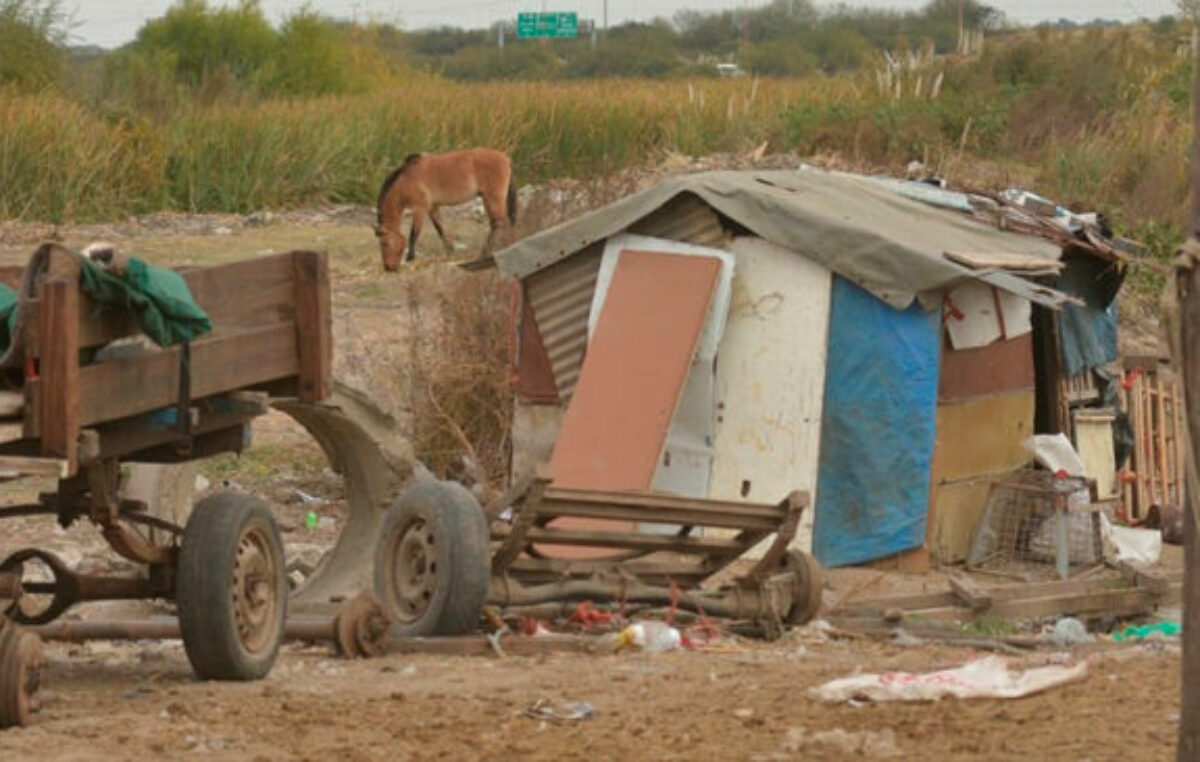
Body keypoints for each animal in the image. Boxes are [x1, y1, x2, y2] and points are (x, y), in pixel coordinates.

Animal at [374, 147, 516, 270]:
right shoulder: (432, 207)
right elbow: (440, 229)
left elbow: (413, 234)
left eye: (384, 243)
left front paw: (410, 258)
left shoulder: (420, 208)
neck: (406, 179)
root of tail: (505, 158)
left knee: (500, 224)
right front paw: (450, 251)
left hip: (492, 199)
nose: (388, 267)